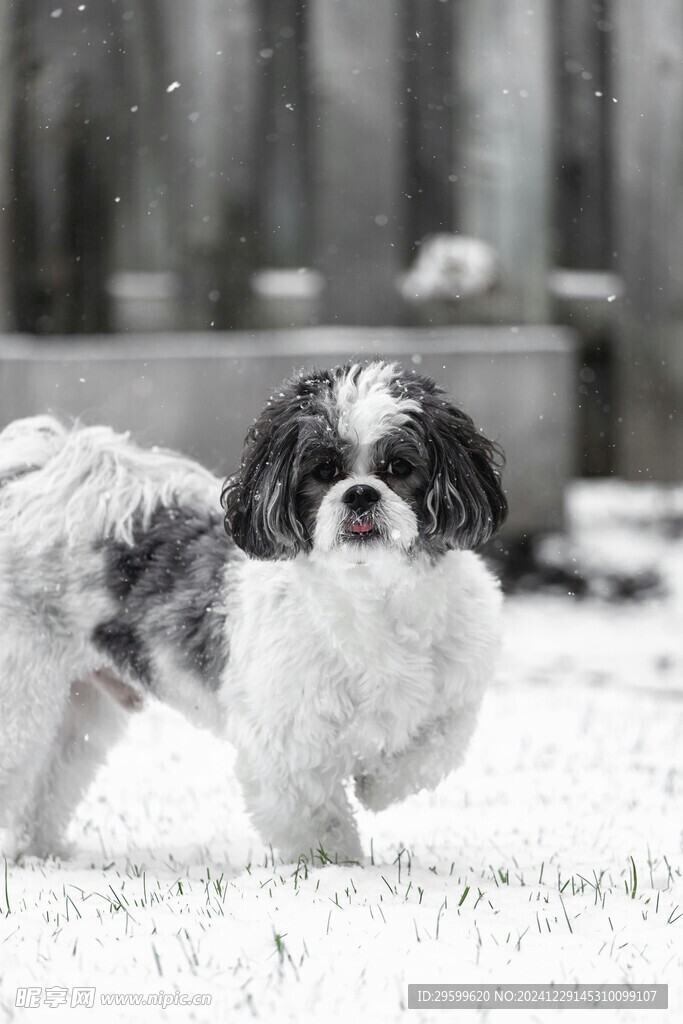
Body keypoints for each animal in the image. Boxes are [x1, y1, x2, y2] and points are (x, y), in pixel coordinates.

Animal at [0, 362, 507, 864]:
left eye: (400, 467)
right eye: (324, 470)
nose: (361, 493)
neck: (373, 595)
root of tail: (36, 481)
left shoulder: (454, 694)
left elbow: (433, 749)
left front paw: (376, 786)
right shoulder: (286, 744)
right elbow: (317, 820)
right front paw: (336, 868)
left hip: (79, 709)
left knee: (48, 781)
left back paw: (40, 852)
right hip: (22, 695)